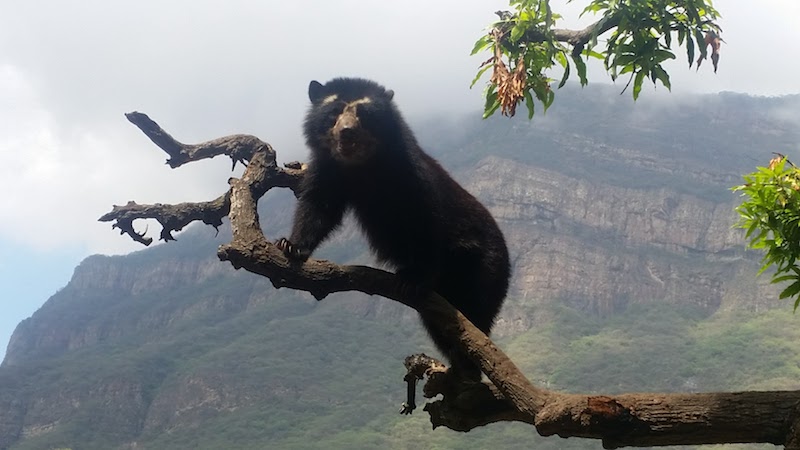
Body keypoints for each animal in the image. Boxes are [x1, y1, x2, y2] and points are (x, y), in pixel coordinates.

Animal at [278, 78, 510, 384]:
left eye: (364, 114)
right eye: (335, 112)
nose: (347, 132)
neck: (363, 165)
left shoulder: (410, 175)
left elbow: (424, 221)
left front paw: (413, 278)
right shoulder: (329, 170)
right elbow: (319, 206)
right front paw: (291, 246)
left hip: (484, 265)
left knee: (477, 310)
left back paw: (468, 367)